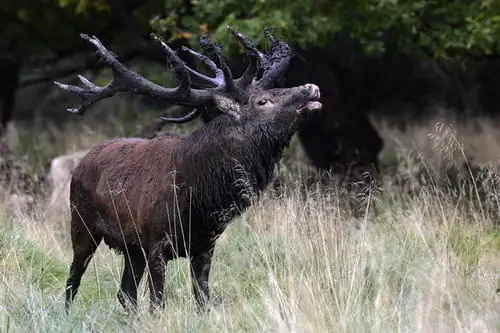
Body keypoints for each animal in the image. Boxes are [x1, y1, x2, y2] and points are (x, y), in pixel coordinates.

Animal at [56, 27, 322, 312]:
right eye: (263, 101)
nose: (311, 87)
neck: (198, 197)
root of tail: (81, 162)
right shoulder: (157, 241)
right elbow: (157, 303)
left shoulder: (205, 244)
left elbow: (203, 298)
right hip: (81, 224)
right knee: (73, 280)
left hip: (131, 248)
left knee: (125, 293)